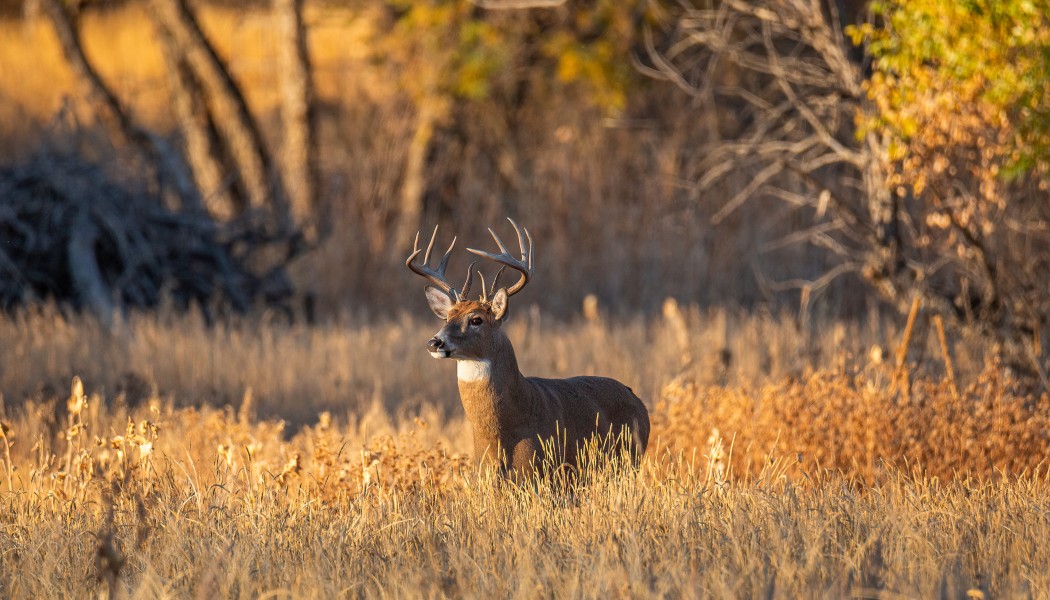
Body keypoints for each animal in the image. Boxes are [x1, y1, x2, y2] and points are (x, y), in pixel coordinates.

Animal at [407, 218, 650, 478]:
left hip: (629, 459)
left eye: (476, 320)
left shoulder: (543, 470)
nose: (434, 342)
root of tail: (639, 402)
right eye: (447, 317)